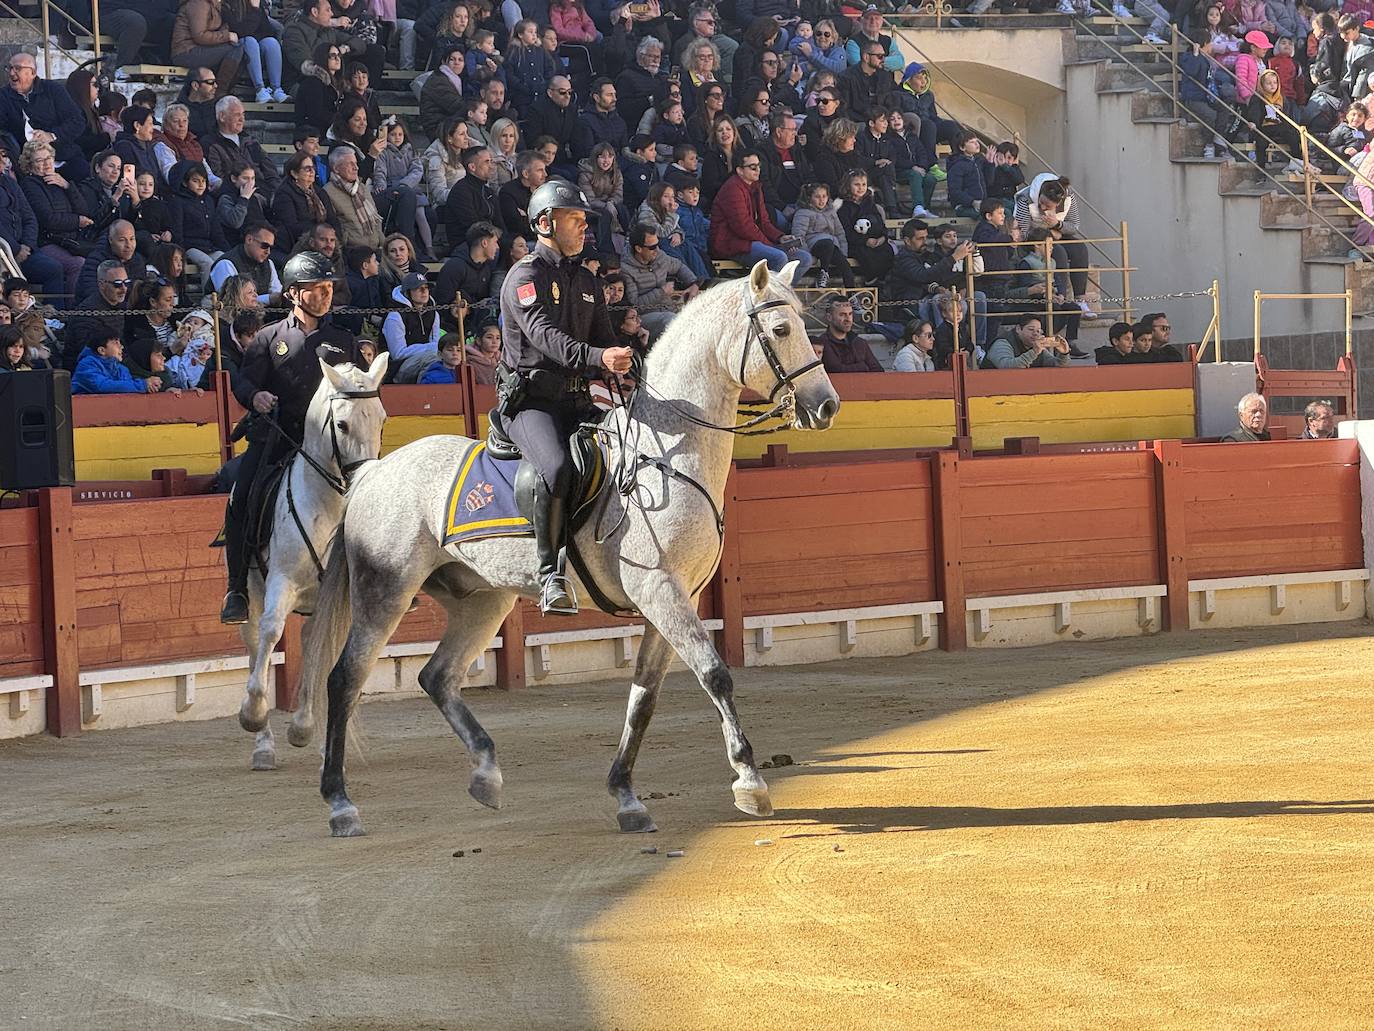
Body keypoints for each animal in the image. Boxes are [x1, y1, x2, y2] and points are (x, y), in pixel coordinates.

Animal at [237, 351, 392, 769]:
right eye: (341, 423)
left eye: (382, 418)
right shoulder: (282, 581)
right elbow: (272, 632)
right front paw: (253, 714)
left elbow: (331, 654)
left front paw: (310, 731)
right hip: (253, 592)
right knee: (256, 640)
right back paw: (263, 744)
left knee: (312, 643)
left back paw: (312, 732)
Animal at [292, 263, 835, 841]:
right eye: (780, 330)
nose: (826, 405)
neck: (665, 454)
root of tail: (373, 472)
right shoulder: (661, 590)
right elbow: (714, 674)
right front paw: (750, 783)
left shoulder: (673, 599)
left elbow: (643, 696)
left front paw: (626, 795)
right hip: (385, 592)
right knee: (344, 679)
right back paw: (340, 803)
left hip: (483, 600)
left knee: (436, 676)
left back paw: (487, 775)